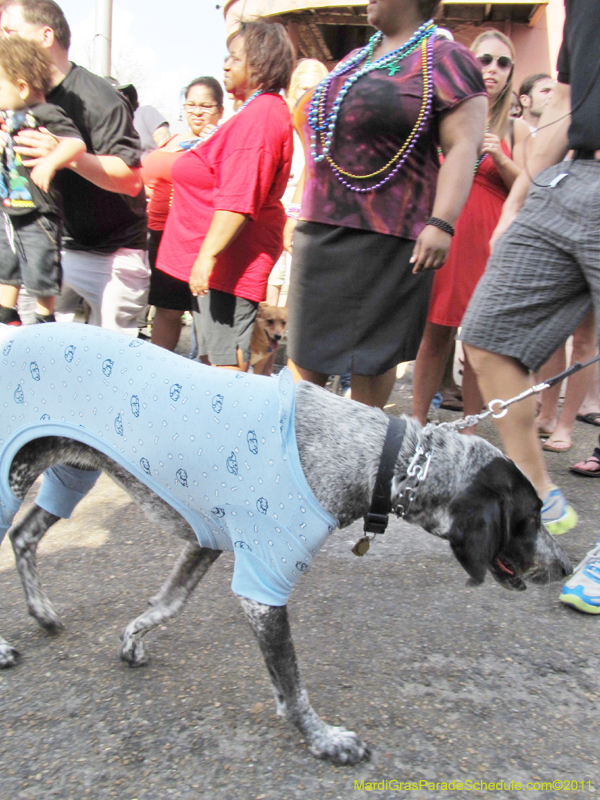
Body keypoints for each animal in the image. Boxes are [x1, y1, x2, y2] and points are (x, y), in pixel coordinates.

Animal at [1, 324, 572, 768]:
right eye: (529, 519)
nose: (565, 566)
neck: (379, 456)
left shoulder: (205, 544)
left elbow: (166, 604)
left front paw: (131, 640)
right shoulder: (263, 587)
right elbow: (293, 689)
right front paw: (325, 741)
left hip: (67, 476)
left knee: (24, 538)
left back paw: (42, 612)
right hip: (10, 481)